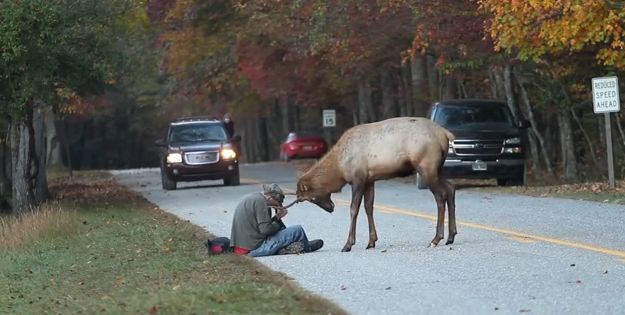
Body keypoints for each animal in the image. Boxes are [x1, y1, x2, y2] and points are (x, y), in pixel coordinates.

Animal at [294, 117, 456, 253]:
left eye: (310, 198)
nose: (330, 208)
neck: (339, 168)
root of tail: (445, 134)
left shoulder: (358, 179)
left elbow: (354, 209)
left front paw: (348, 244)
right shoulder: (369, 180)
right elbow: (369, 207)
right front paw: (371, 241)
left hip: (426, 167)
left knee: (440, 197)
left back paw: (436, 239)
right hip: (438, 169)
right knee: (450, 189)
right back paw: (451, 236)